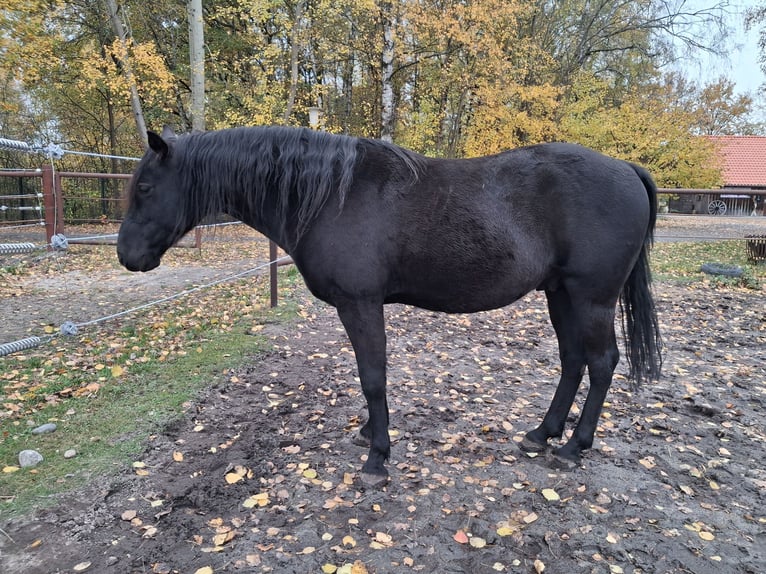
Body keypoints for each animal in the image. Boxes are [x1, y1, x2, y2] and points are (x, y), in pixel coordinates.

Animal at [117, 125, 662, 487]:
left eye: (144, 187)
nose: (127, 256)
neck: (332, 196)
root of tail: (626, 169)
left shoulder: (360, 305)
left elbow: (373, 376)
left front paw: (377, 458)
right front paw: (368, 435)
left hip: (591, 298)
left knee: (601, 363)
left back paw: (572, 448)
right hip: (560, 294)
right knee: (573, 362)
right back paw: (541, 434)